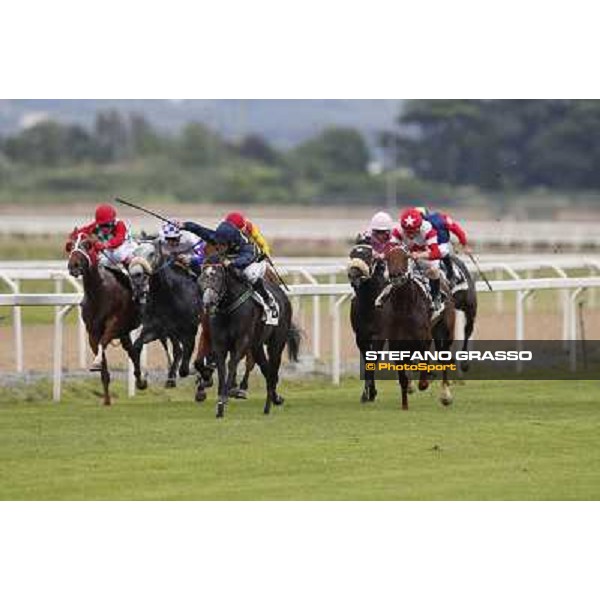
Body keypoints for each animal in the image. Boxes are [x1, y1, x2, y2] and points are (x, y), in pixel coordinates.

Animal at [66, 232, 146, 406]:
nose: (74, 265)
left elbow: (103, 342)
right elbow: (102, 362)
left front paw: (96, 362)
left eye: (86, 245)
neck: (99, 293)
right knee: (132, 352)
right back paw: (140, 381)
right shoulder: (92, 332)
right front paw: (106, 400)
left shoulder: (114, 324)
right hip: (125, 331)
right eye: (70, 246)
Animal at [198, 262, 300, 418]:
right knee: (266, 368)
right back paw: (273, 400)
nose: (208, 302)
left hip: (276, 344)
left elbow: (232, 364)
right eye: (202, 279)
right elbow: (221, 369)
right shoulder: (219, 345)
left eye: (217, 279)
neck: (228, 309)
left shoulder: (242, 342)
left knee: (273, 369)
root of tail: (283, 295)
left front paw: (226, 395)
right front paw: (220, 404)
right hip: (257, 346)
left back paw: (269, 403)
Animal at [378, 246, 458, 410]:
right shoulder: (396, 344)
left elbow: (423, 370)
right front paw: (405, 404)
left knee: (445, 358)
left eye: (406, 257)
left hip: (446, 331)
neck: (404, 307)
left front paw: (426, 380)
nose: (396, 276)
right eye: (388, 258)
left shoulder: (424, 340)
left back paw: (446, 396)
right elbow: (403, 377)